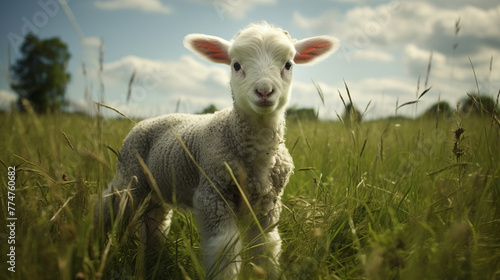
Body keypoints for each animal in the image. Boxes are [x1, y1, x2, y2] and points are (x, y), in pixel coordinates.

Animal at [96, 21, 340, 278]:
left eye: (288, 64)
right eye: (236, 65)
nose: (264, 91)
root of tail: (142, 122)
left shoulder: (269, 205)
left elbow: (266, 247)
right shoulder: (213, 196)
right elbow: (225, 249)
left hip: (157, 189)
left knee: (155, 221)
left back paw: (152, 257)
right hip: (129, 181)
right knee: (106, 207)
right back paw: (95, 244)